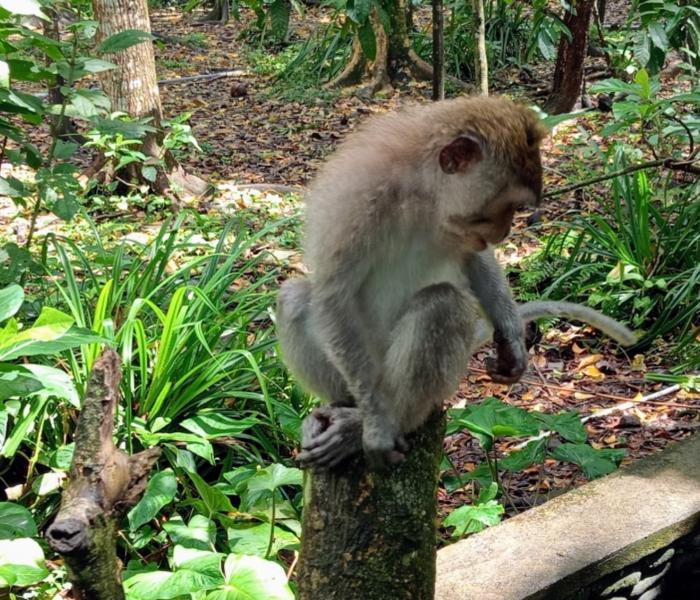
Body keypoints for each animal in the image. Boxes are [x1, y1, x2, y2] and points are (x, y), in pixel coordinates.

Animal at [275, 95, 636, 471]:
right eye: (505, 206)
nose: (506, 231)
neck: (422, 193)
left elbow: (471, 257)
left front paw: (511, 338)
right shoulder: (357, 203)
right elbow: (335, 295)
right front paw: (375, 426)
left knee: (441, 304)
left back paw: (377, 422)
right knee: (297, 298)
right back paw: (350, 412)